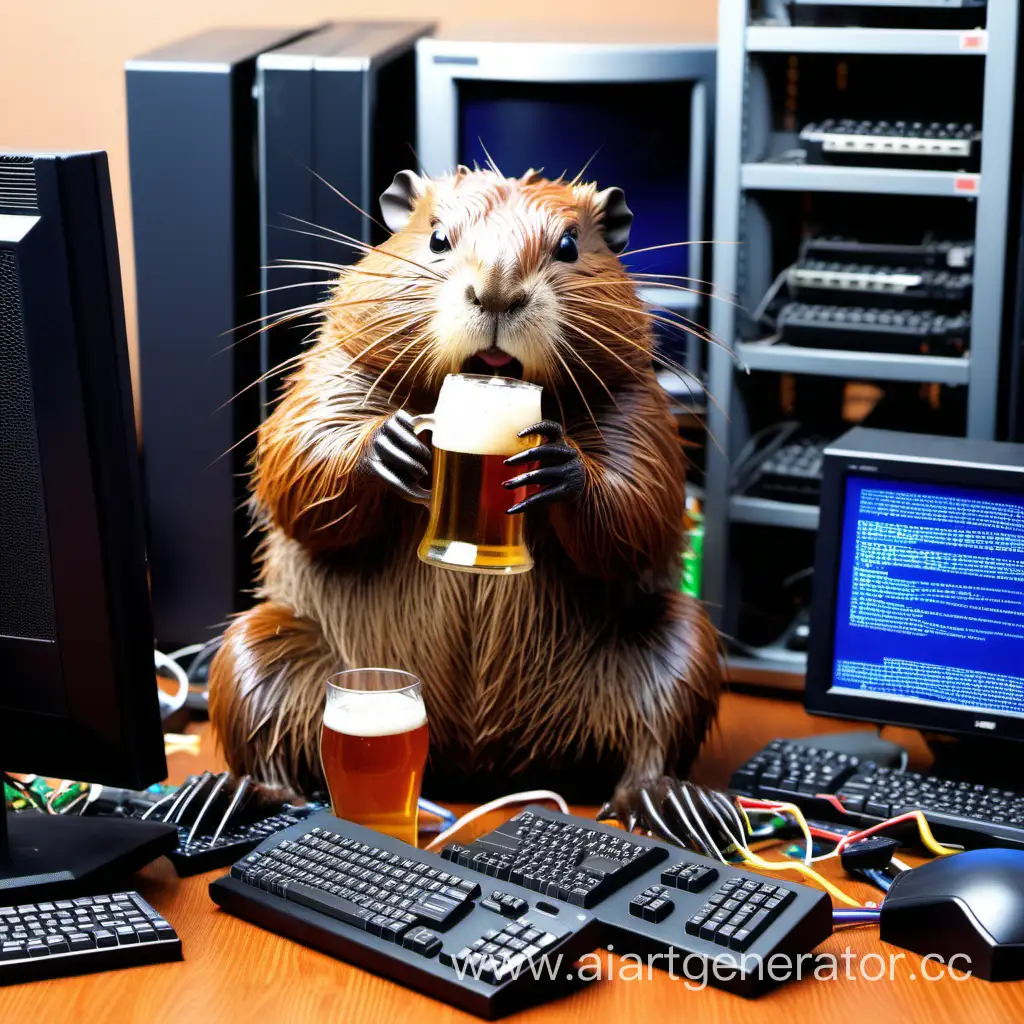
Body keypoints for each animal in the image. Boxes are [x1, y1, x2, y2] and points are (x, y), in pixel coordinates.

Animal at [205, 165, 720, 823]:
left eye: (570, 245)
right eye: (436, 238)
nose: (497, 293)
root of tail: (479, 762)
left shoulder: (635, 396)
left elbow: (643, 505)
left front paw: (556, 464)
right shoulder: (336, 361)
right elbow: (298, 457)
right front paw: (393, 447)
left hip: (678, 640)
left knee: (651, 740)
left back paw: (679, 807)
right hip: (258, 646)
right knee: (266, 728)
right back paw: (226, 797)